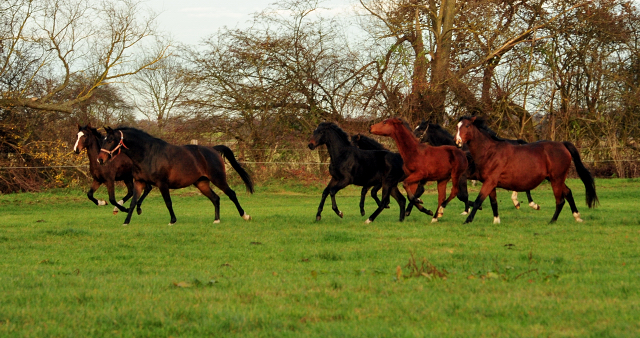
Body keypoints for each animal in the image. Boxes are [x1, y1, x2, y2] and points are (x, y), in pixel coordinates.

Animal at [96, 128, 254, 226]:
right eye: (103, 139)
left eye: (110, 140)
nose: (100, 159)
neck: (147, 154)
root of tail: (213, 149)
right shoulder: (139, 182)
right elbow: (134, 202)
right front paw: (126, 221)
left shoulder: (162, 184)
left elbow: (168, 202)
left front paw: (172, 220)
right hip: (201, 183)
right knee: (215, 198)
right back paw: (216, 220)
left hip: (218, 179)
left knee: (231, 194)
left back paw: (245, 215)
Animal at [452, 116, 596, 224]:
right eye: (457, 126)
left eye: (467, 126)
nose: (457, 141)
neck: (490, 152)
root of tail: (562, 144)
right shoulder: (490, 183)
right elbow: (493, 202)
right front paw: (496, 221)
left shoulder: (490, 182)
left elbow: (478, 201)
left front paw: (467, 220)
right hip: (555, 179)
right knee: (568, 193)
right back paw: (577, 217)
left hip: (556, 179)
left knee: (560, 200)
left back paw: (552, 221)